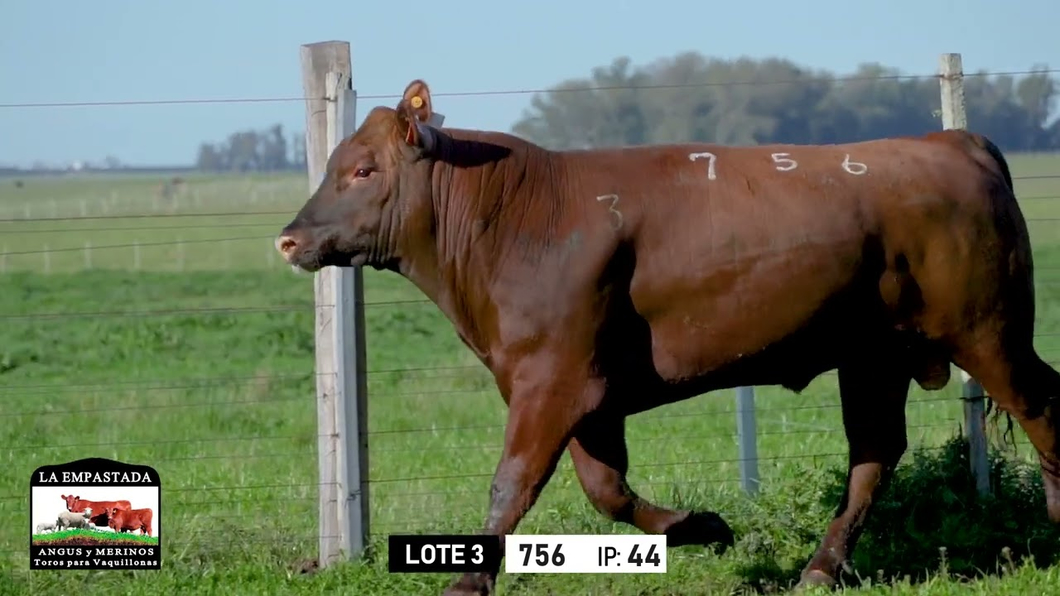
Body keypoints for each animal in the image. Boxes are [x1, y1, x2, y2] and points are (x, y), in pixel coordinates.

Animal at [275, 80, 1060, 593]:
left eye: (363, 169)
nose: (289, 239)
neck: (521, 216)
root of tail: (949, 140)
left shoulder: (551, 378)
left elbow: (513, 483)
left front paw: (468, 585)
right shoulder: (584, 392)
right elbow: (606, 488)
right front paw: (701, 526)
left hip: (987, 330)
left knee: (1040, 405)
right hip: (874, 353)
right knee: (874, 452)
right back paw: (818, 569)